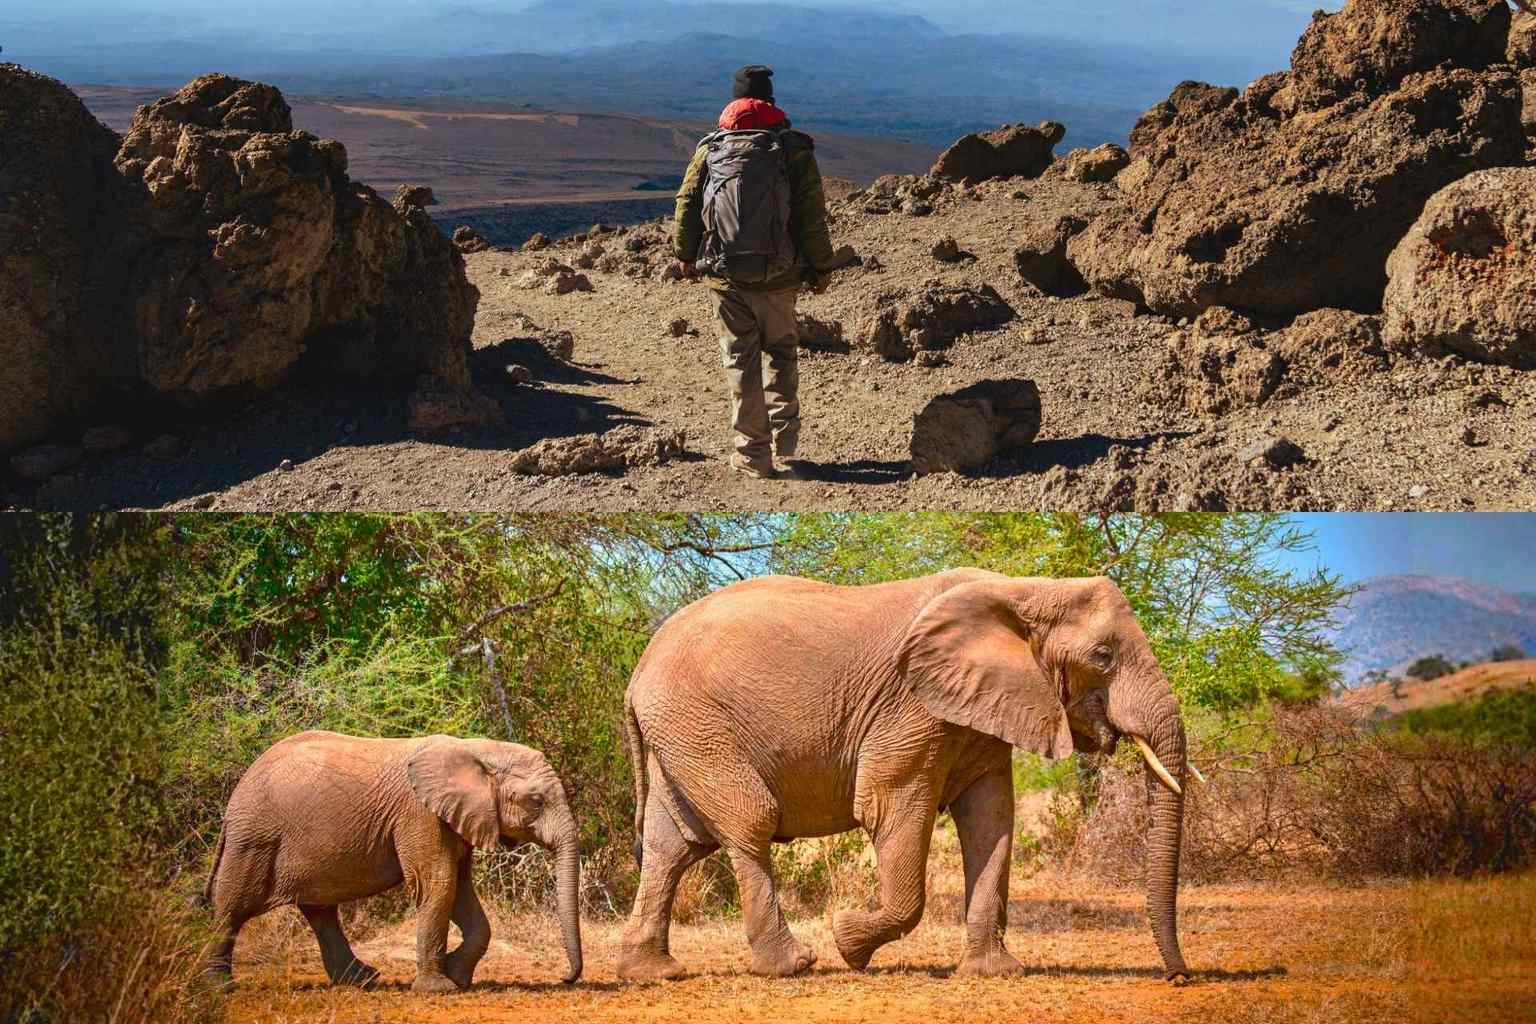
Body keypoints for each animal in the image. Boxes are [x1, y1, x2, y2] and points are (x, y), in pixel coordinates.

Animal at [200, 731, 582, 991]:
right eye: (536, 801)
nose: (565, 978)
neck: (478, 749)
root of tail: (235, 798)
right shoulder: (420, 815)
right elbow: (438, 883)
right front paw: (439, 989)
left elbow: (460, 889)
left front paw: (456, 975)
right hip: (255, 840)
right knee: (232, 908)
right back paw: (218, 986)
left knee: (320, 911)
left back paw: (363, 980)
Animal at [616, 569, 1192, 982]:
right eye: (1104, 656)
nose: (1180, 978)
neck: (1025, 587)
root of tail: (639, 670)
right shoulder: (911, 709)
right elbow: (890, 809)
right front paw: (847, 940)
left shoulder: (982, 713)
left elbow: (991, 822)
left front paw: (995, 973)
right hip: (700, 727)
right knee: (749, 822)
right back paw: (793, 965)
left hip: (682, 734)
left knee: (673, 846)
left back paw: (653, 973)